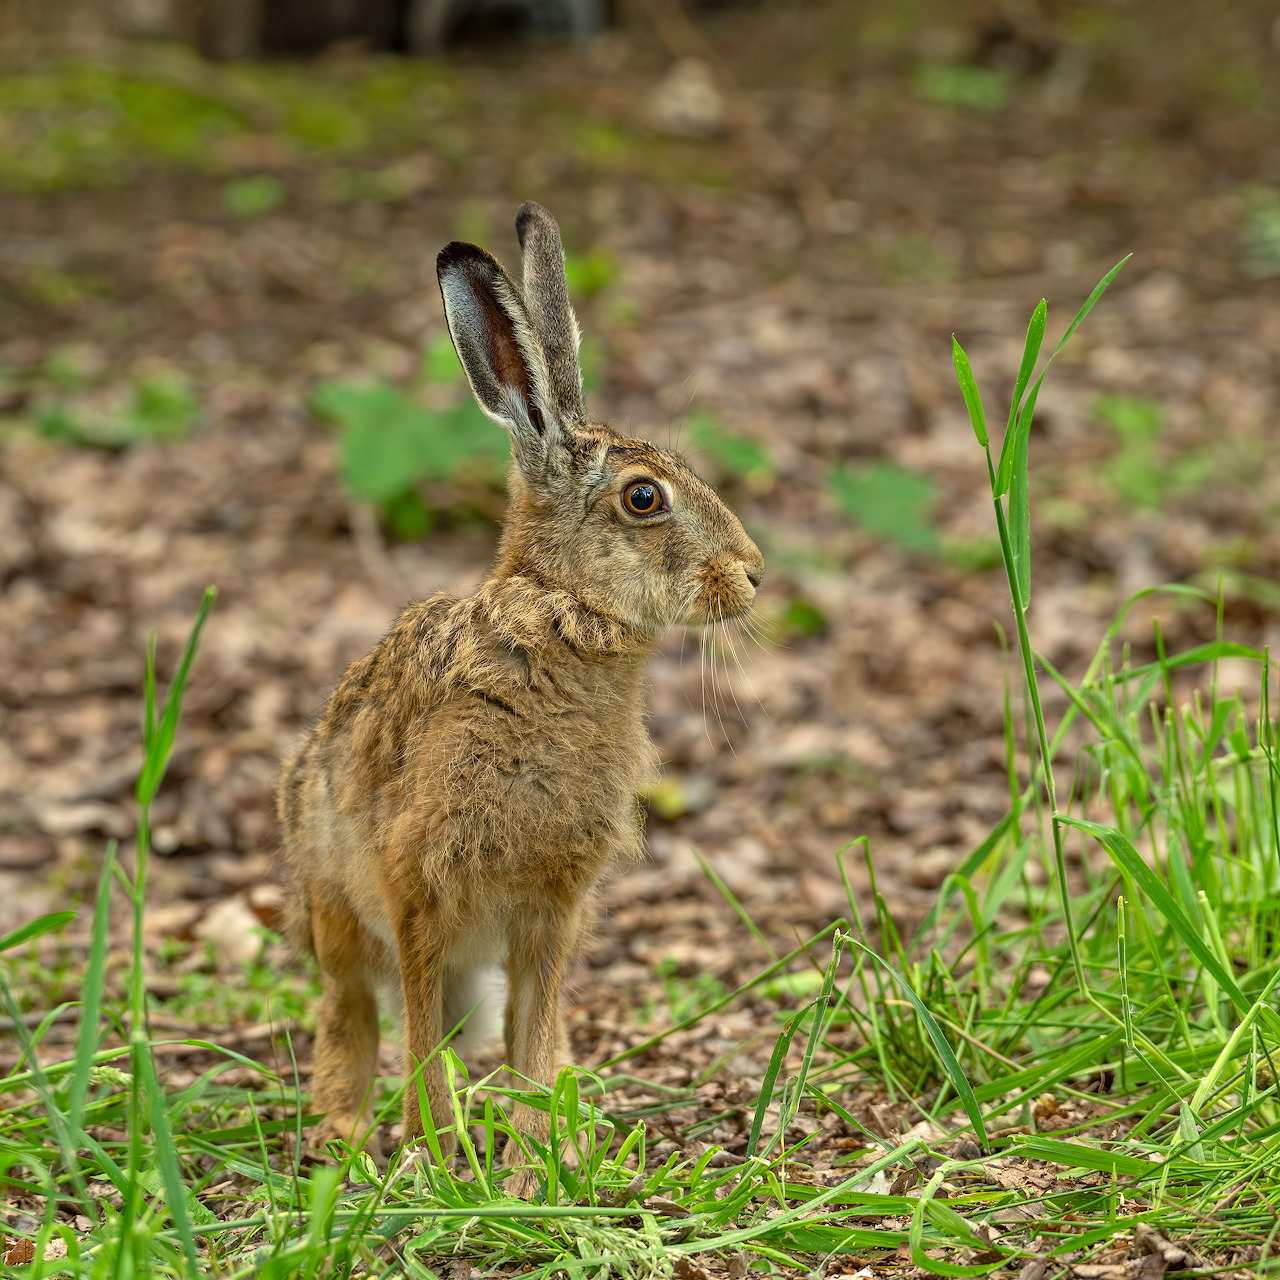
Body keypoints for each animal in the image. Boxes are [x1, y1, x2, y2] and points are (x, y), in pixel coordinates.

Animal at [277, 201, 764, 1200]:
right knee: (354, 1016)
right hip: (339, 912)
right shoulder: (419, 887)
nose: (753, 574)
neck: (559, 618)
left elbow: (532, 1038)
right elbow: (422, 1039)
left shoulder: (552, 907)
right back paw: (344, 1134)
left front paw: (543, 1158)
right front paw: (438, 1156)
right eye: (644, 499)